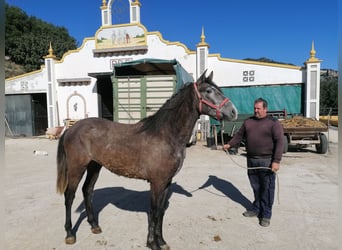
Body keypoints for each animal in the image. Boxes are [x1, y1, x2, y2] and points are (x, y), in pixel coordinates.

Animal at [56, 69, 238, 249]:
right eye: (208, 91)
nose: (233, 112)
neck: (166, 135)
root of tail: (71, 129)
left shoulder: (166, 182)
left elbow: (161, 212)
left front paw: (161, 241)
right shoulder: (156, 182)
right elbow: (154, 211)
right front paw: (152, 243)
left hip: (94, 166)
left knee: (87, 190)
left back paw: (94, 225)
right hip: (76, 168)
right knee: (69, 196)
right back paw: (70, 234)